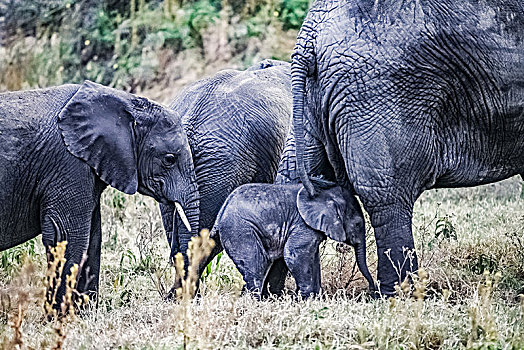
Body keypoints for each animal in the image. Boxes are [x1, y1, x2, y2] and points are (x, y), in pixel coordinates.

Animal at [0, 80, 196, 302]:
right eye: (169, 159)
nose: (170, 297)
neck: (126, 103)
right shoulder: (68, 164)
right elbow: (68, 237)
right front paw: (59, 312)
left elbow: (93, 239)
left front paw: (84, 309)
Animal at [211, 183, 374, 298]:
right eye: (358, 224)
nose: (372, 290)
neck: (326, 193)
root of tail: (221, 212)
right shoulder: (302, 224)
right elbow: (294, 255)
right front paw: (306, 299)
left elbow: (313, 259)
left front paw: (315, 298)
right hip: (239, 230)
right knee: (256, 266)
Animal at [290, 0, 524, 296]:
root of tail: (309, 36)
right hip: (378, 90)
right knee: (388, 196)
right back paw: (402, 293)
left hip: (316, 97)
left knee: (297, 177)